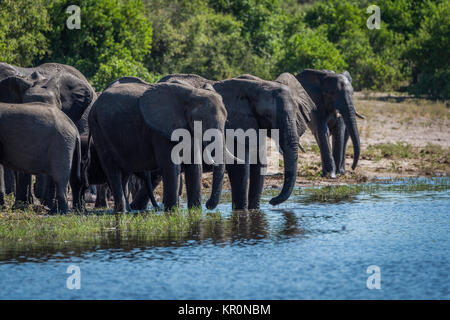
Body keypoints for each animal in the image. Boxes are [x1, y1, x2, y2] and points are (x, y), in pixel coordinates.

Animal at [89, 77, 229, 212]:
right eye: (200, 121)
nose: (208, 205)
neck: (190, 94)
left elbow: (194, 166)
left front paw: (195, 211)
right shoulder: (160, 132)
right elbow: (171, 166)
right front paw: (172, 212)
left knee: (124, 174)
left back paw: (126, 211)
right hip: (99, 131)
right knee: (113, 170)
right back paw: (121, 212)